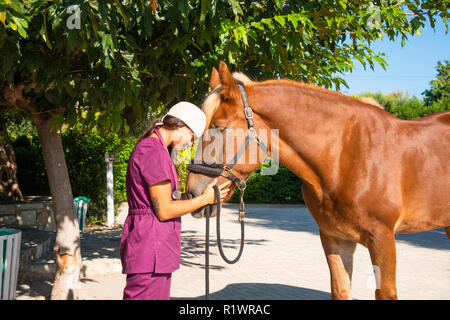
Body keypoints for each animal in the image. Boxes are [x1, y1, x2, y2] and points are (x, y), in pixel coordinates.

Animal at [185, 60, 448, 300]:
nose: (192, 193)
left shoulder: (382, 239)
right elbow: (340, 289)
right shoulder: (335, 238)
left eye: (220, 127)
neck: (346, 156)